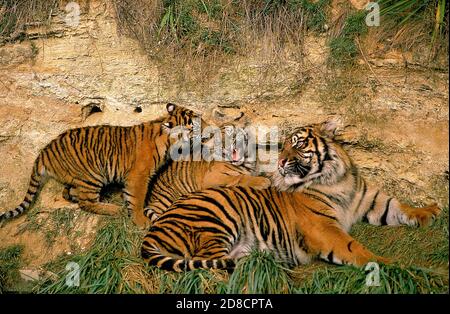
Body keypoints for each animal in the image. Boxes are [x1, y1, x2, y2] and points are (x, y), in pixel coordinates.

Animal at [0, 104, 202, 227]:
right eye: (194, 124)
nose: (206, 122)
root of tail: (44, 152)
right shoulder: (138, 176)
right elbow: (137, 199)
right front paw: (141, 221)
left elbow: (130, 197)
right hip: (92, 175)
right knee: (86, 203)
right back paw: (114, 209)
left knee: (68, 193)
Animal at [142, 118, 442, 270]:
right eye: (282, 146)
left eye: (296, 144)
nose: (278, 163)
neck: (336, 180)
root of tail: (156, 227)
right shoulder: (324, 228)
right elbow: (356, 249)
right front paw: (391, 266)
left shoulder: (370, 199)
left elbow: (399, 206)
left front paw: (430, 211)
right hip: (216, 218)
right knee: (207, 265)